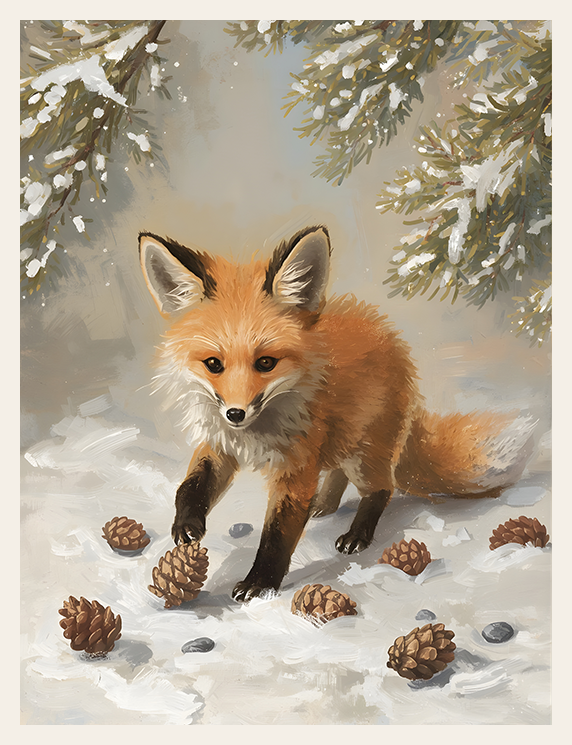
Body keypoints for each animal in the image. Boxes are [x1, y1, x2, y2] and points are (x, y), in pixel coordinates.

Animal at [139, 225, 535, 602]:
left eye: (265, 363)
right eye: (213, 364)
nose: (236, 413)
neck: (254, 434)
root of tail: (391, 340)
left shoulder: (296, 469)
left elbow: (277, 535)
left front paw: (260, 584)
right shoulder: (219, 445)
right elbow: (190, 485)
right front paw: (186, 525)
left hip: (362, 454)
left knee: (382, 488)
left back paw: (357, 533)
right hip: (342, 441)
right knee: (338, 472)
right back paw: (324, 503)